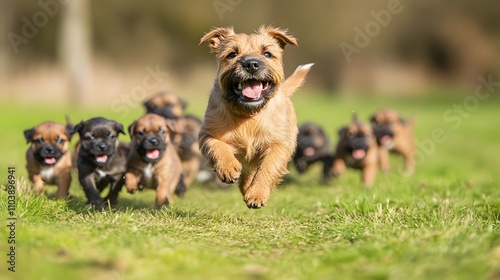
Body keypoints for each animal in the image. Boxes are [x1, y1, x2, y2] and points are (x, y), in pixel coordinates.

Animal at [199, 25, 312, 208]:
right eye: (232, 54)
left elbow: (268, 167)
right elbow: (217, 146)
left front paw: (257, 194)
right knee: (245, 175)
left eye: (267, 53)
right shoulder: (206, 134)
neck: (248, 115)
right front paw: (228, 168)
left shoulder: (280, 144)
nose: (251, 64)